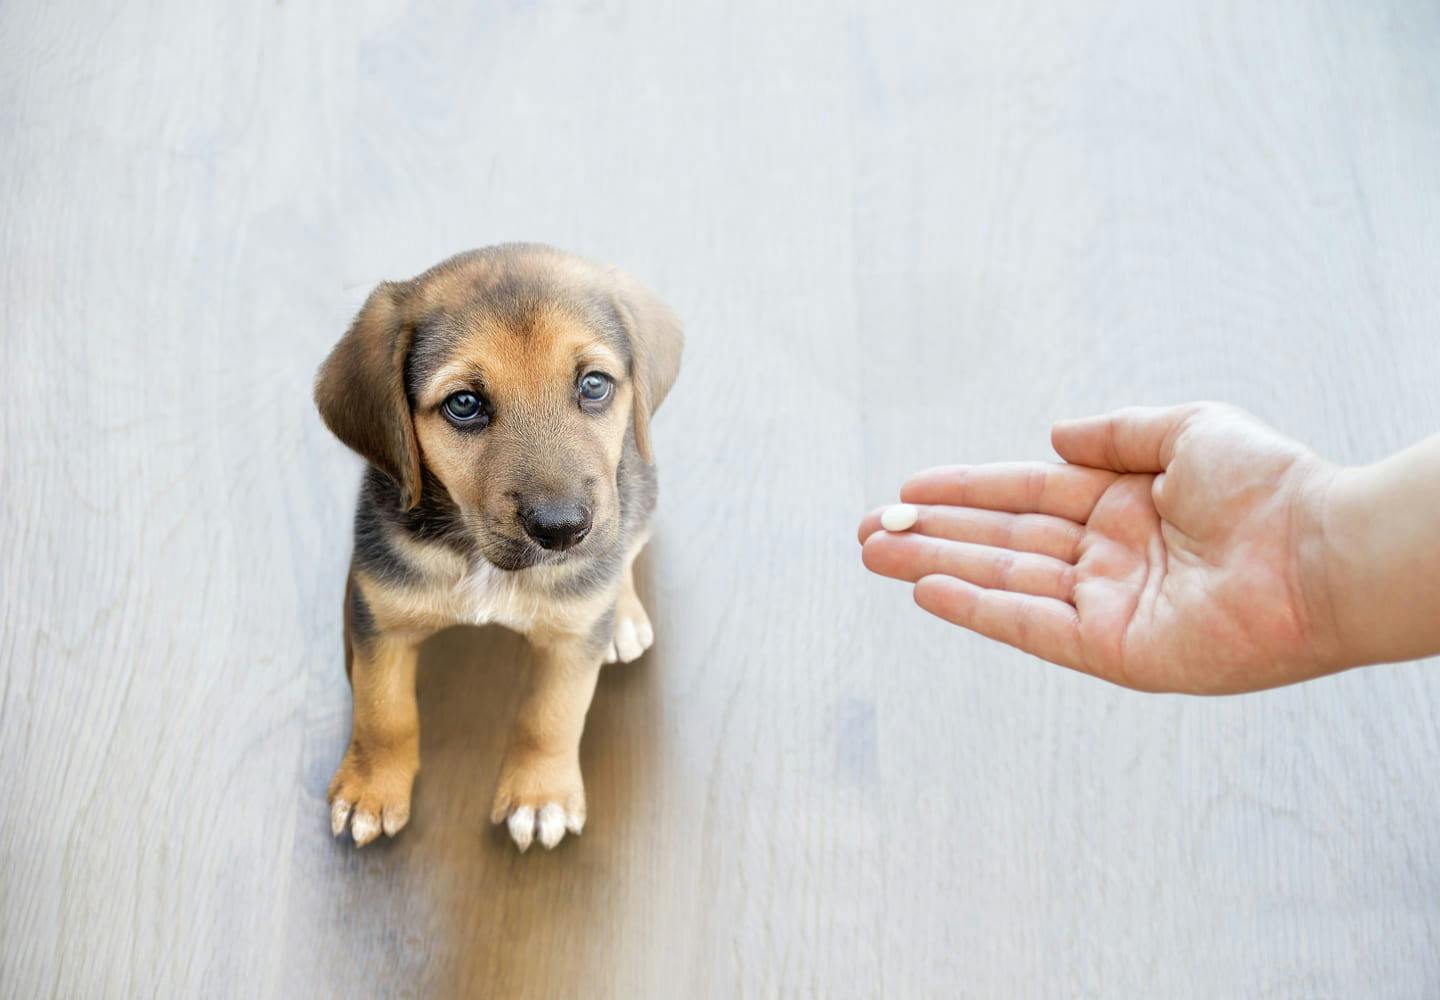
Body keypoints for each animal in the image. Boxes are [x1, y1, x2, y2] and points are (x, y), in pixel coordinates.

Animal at [313, 244, 679, 853]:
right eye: (464, 403)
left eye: (594, 385)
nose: (562, 530)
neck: (480, 557)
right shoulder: (379, 615)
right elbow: (383, 711)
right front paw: (371, 788)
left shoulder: (572, 640)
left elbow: (551, 716)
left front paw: (539, 796)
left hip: (641, 490)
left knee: (625, 549)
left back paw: (622, 614)